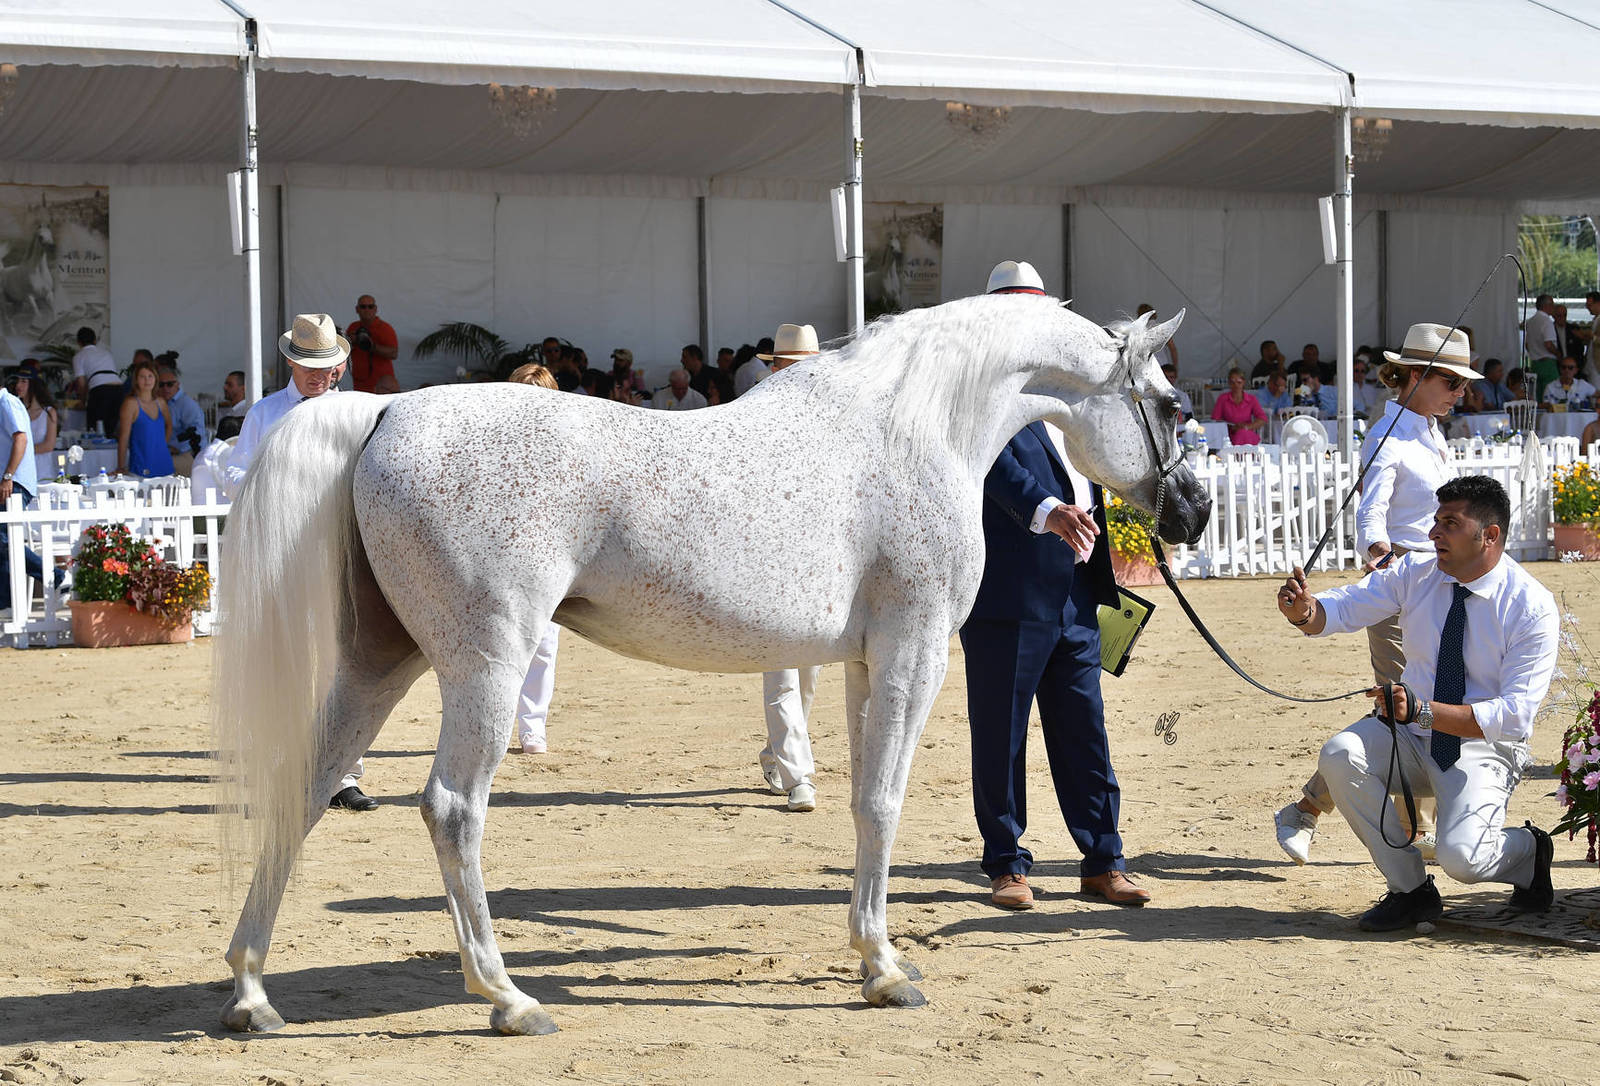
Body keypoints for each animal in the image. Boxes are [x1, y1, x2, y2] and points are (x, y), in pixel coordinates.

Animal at [212, 297, 1211, 1036]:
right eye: (1170, 405)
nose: (1195, 511)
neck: (913, 427)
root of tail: (387, 409)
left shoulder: (864, 664)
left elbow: (863, 801)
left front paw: (872, 955)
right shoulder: (916, 650)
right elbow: (884, 803)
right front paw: (886, 970)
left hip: (382, 661)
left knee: (306, 787)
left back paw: (252, 991)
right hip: (483, 666)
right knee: (453, 809)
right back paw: (506, 996)